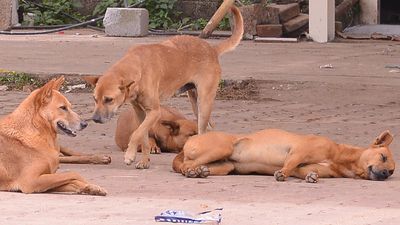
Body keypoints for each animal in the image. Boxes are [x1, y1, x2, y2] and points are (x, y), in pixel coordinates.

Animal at [84, 4, 244, 169]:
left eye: (109, 99)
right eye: (94, 99)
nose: (95, 119)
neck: (138, 66)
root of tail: (212, 49)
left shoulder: (155, 112)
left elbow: (136, 134)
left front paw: (129, 155)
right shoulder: (141, 114)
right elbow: (143, 137)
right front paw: (144, 161)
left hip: (204, 103)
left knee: (202, 131)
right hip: (196, 103)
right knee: (210, 128)